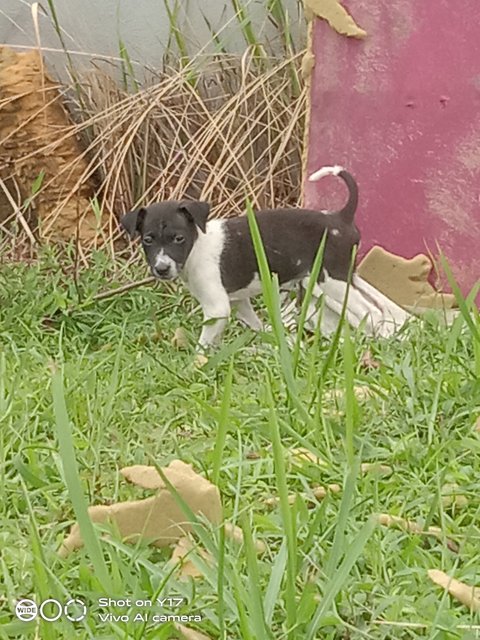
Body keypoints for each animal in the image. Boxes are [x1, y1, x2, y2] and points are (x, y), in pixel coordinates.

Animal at [120, 162, 408, 348]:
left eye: (178, 239)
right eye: (147, 240)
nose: (161, 268)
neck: (197, 246)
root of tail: (341, 216)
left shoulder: (217, 307)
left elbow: (204, 343)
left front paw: (195, 367)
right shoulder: (238, 302)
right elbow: (256, 324)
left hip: (331, 280)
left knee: (370, 310)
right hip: (345, 276)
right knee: (379, 305)